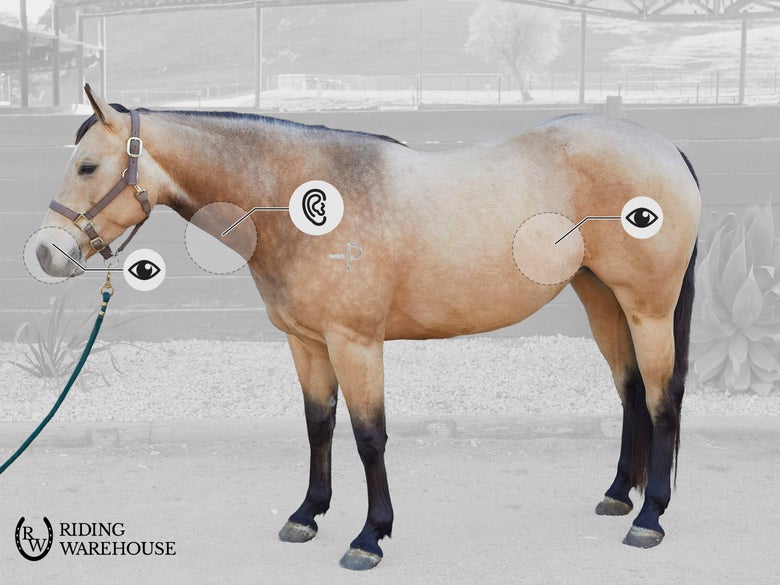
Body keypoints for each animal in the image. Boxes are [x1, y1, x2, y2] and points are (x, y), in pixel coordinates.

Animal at [36, 85, 700, 570]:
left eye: (88, 166)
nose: (45, 253)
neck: (300, 203)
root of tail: (666, 149)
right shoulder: (306, 343)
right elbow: (318, 426)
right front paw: (307, 514)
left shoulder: (354, 342)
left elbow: (368, 436)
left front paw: (369, 536)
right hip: (602, 298)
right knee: (631, 392)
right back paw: (618, 495)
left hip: (647, 307)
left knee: (662, 398)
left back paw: (650, 519)